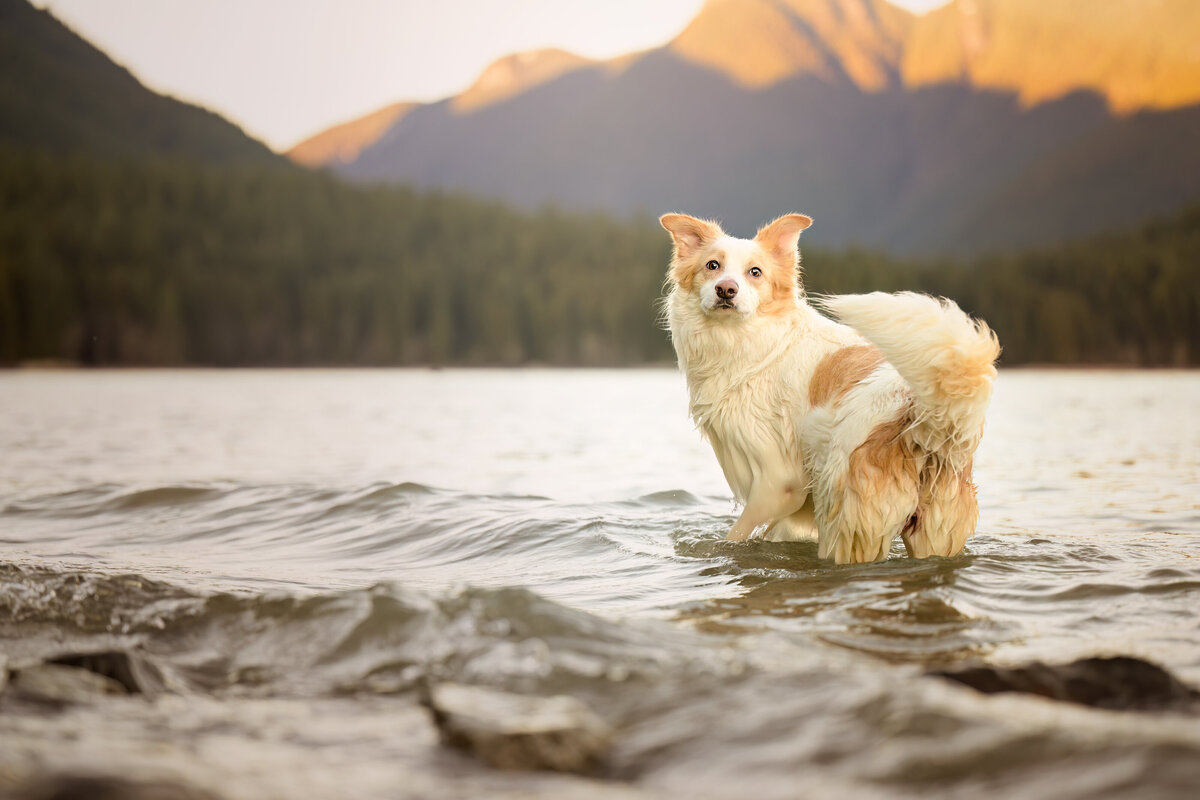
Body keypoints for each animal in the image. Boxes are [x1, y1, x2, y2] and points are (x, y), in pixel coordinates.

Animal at [662, 212, 998, 563]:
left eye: (755, 272)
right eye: (712, 265)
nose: (726, 290)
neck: (752, 340)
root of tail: (922, 417)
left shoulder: (780, 481)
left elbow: (738, 534)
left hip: (844, 522)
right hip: (933, 537)